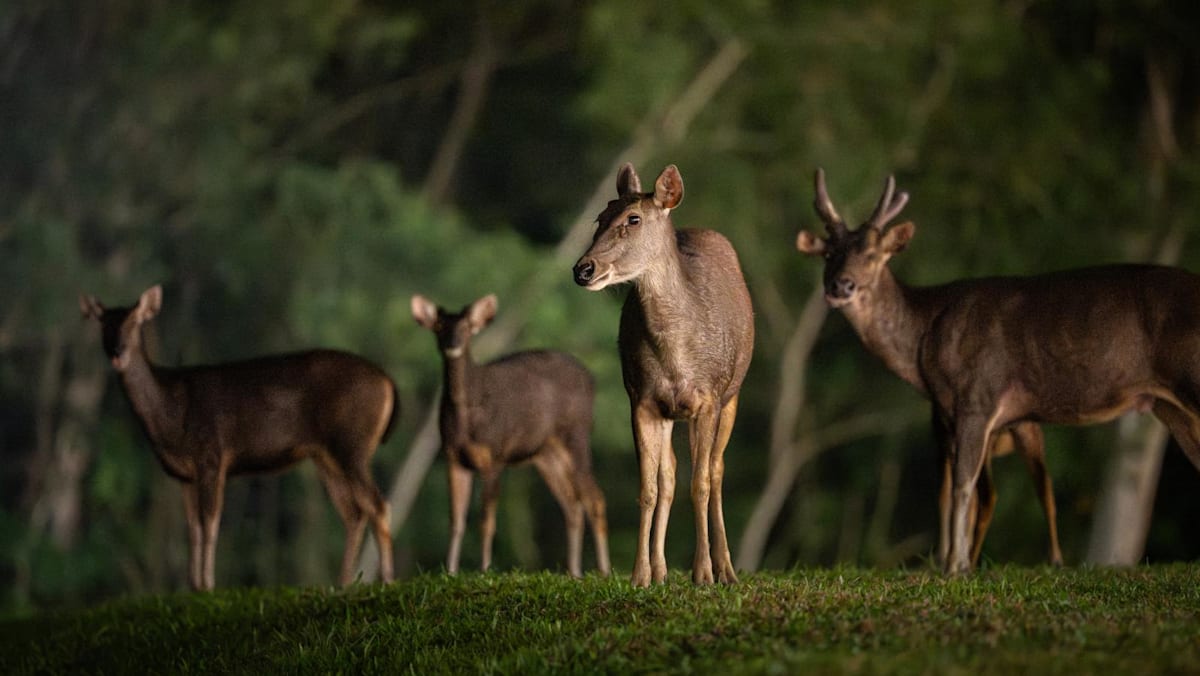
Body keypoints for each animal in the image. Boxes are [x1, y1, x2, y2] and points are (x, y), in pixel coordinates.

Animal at [81, 284, 396, 590]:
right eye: (103, 323)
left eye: (134, 321)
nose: (117, 351)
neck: (170, 419)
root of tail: (388, 384)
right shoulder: (185, 475)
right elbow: (193, 527)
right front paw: (193, 586)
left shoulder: (212, 456)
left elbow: (210, 522)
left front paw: (208, 585)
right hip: (326, 456)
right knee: (355, 512)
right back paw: (343, 583)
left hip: (352, 444)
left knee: (378, 505)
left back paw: (387, 579)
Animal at [410, 293, 611, 578]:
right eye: (439, 326)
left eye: (467, 327)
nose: (453, 345)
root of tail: (592, 380)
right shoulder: (453, 457)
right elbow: (456, 519)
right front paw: (449, 571)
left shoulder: (494, 454)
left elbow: (486, 520)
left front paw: (484, 569)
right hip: (546, 454)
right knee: (572, 504)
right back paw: (574, 572)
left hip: (577, 434)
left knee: (594, 498)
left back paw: (603, 571)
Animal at [572, 163, 755, 587]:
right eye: (599, 218)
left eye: (633, 219)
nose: (583, 269)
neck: (676, 357)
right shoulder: (641, 400)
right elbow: (650, 487)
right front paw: (639, 575)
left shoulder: (708, 398)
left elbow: (700, 483)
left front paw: (703, 572)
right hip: (671, 411)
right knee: (669, 473)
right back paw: (661, 569)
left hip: (733, 394)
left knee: (716, 470)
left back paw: (726, 569)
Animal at [795, 168, 1200, 574]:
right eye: (829, 253)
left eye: (874, 253)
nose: (841, 285)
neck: (925, 340)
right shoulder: (951, 413)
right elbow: (959, 488)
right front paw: (956, 563)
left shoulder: (978, 395)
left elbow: (963, 486)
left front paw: (955, 566)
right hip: (1170, 406)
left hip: (1190, 377)